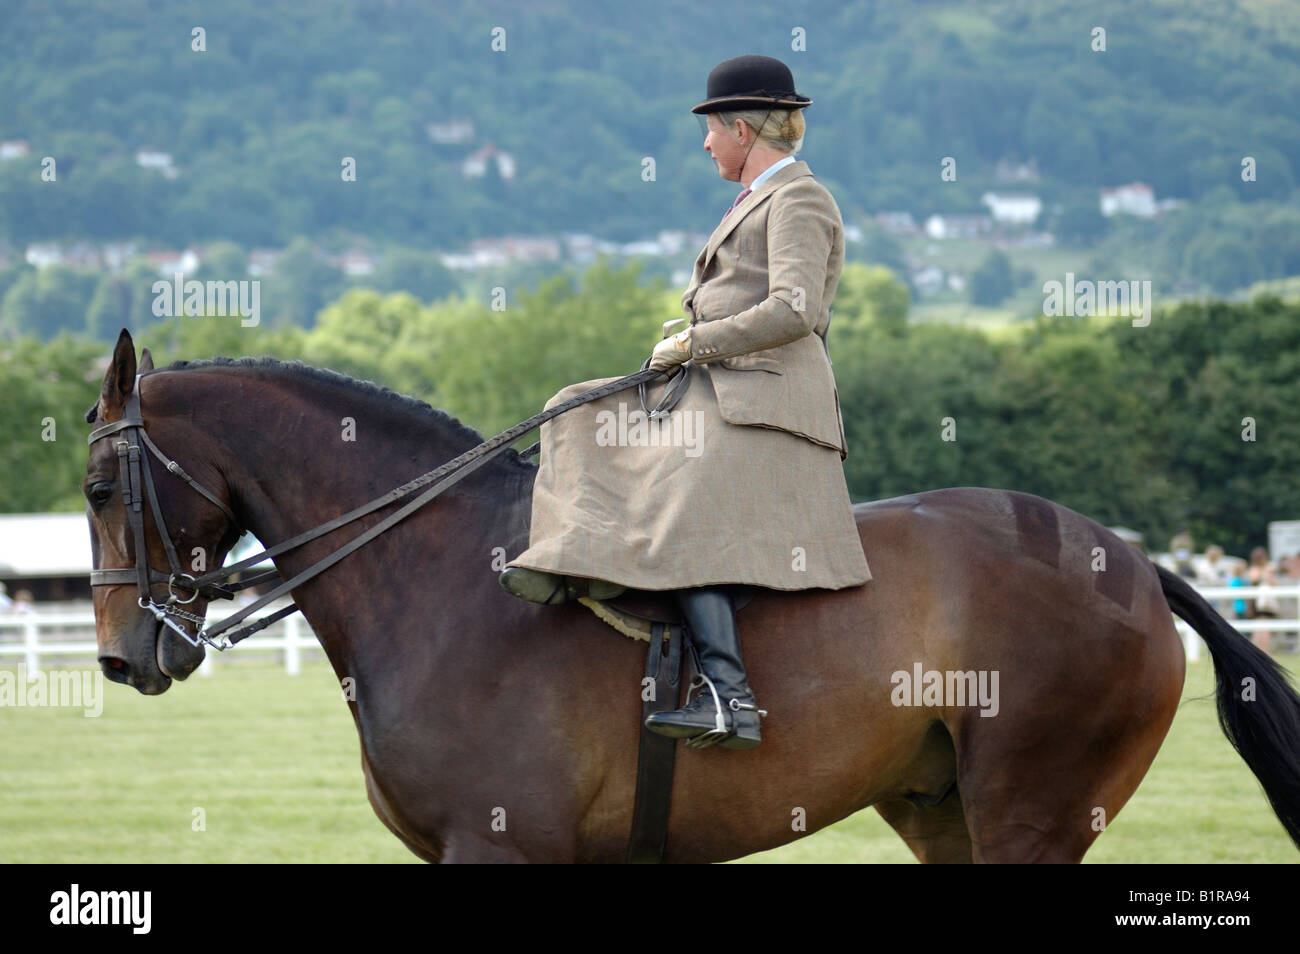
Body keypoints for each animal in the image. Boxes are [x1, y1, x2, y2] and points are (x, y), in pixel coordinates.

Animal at [83, 332, 1300, 863]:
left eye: (99, 486)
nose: (124, 658)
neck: (435, 578)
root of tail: (1129, 562)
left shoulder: (500, 850)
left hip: (1030, 817)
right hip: (939, 812)